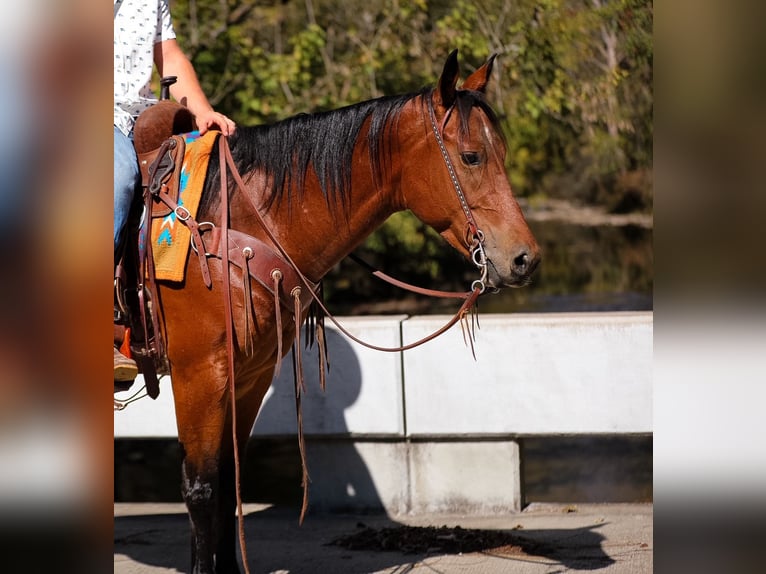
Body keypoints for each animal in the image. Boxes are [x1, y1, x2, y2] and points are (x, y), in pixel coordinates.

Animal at [138, 50, 539, 573]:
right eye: (472, 156)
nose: (525, 259)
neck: (232, 225)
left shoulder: (248, 376)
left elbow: (229, 484)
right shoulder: (199, 376)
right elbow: (203, 490)